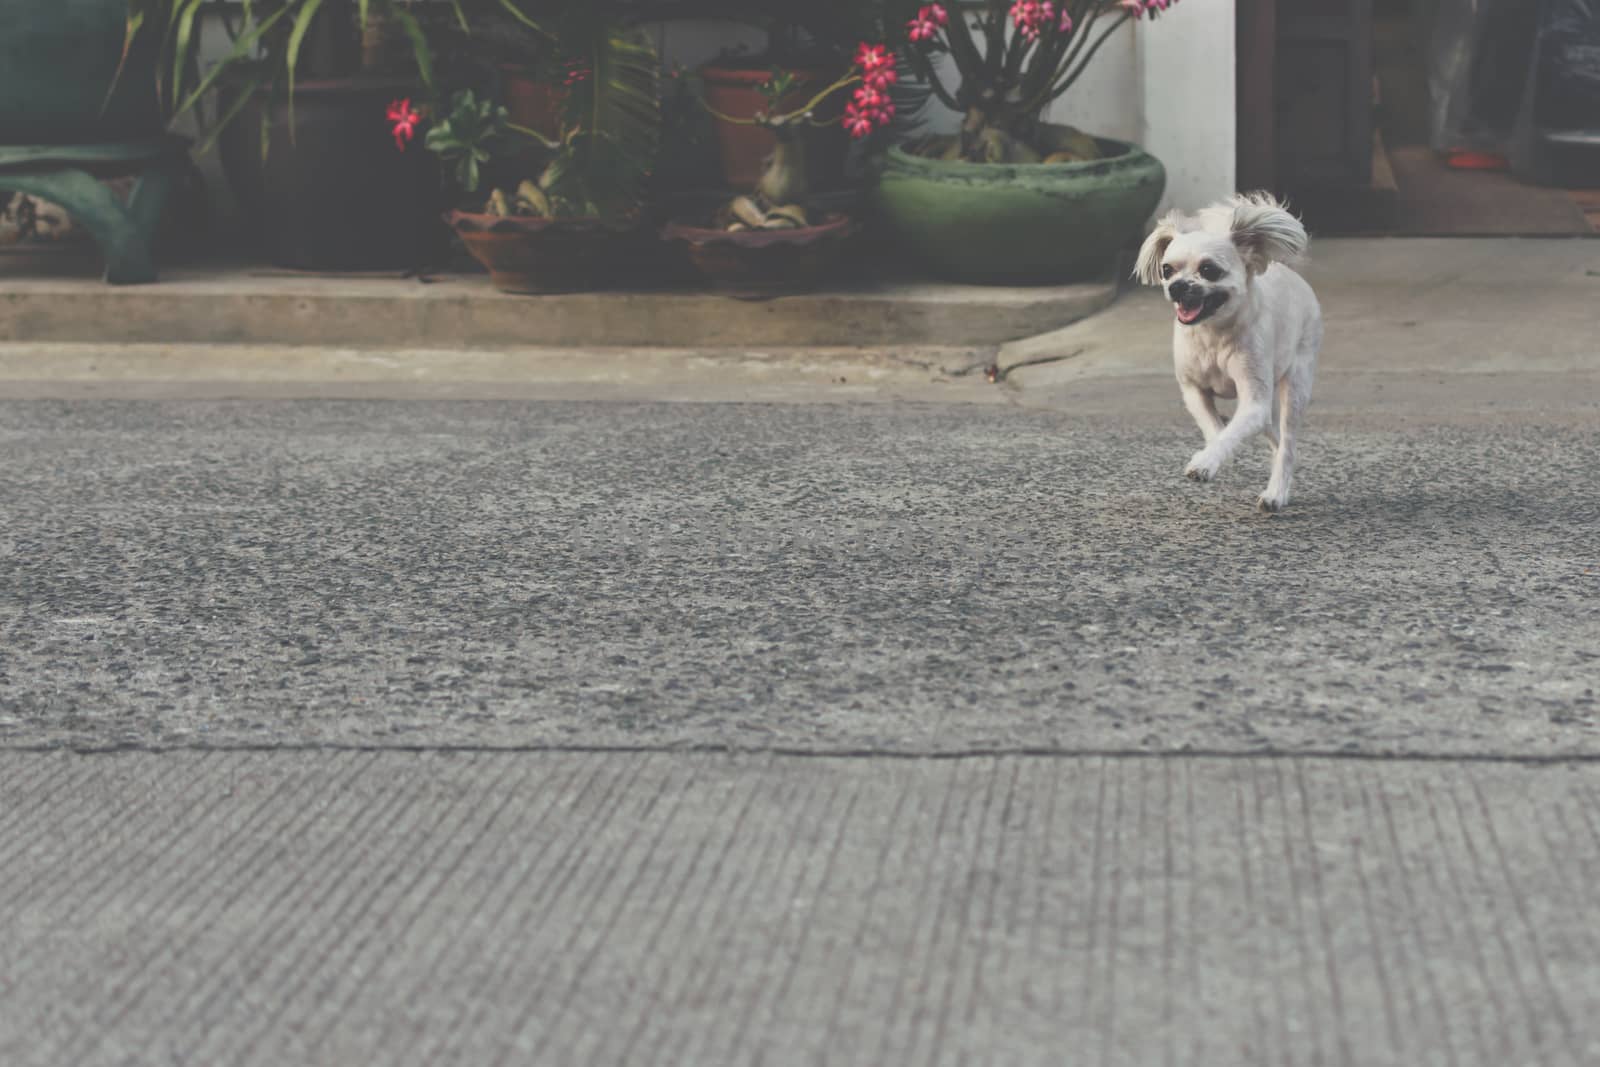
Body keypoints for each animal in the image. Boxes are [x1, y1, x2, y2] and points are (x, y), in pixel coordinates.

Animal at [1139, 195, 1324, 511]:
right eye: (1167, 270)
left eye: (1209, 270)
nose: (1177, 287)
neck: (1213, 334)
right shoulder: (1194, 392)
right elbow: (1217, 429)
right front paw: (1211, 456)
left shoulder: (1254, 402)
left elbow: (1231, 432)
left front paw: (1206, 462)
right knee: (1273, 436)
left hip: (1296, 385)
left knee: (1287, 445)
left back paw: (1277, 492)